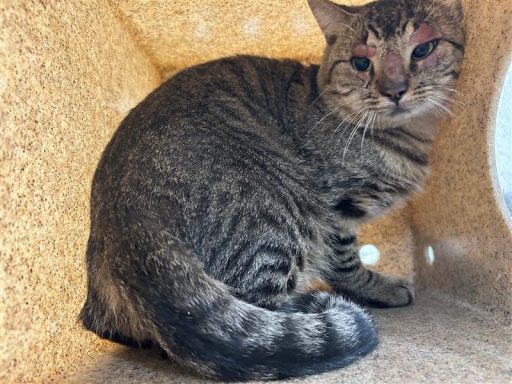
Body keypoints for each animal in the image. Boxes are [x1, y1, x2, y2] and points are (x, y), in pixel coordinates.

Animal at [79, 0, 464, 378]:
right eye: (360, 62)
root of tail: (126, 225)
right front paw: (380, 287)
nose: (394, 90)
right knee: (263, 307)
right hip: (275, 215)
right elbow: (345, 262)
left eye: (423, 49)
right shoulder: (335, 210)